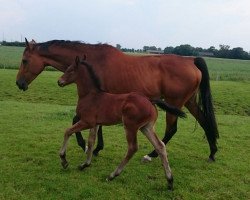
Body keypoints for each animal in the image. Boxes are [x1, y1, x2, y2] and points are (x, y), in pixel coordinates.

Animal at [16, 39, 219, 162]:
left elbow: (81, 122)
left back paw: (151, 155)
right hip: (188, 102)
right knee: (204, 120)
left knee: (171, 130)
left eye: (25, 60)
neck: (93, 61)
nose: (19, 83)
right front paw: (93, 147)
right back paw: (212, 152)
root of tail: (190, 60)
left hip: (174, 103)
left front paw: (88, 146)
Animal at [57, 56, 186, 191]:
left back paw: (112, 175)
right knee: (160, 146)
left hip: (130, 126)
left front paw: (64, 160)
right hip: (146, 127)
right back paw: (170, 181)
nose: (59, 81)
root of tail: (150, 100)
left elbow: (67, 131)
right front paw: (85, 164)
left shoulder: (86, 121)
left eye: (70, 70)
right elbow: (91, 141)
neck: (90, 96)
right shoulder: (95, 123)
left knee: (133, 148)